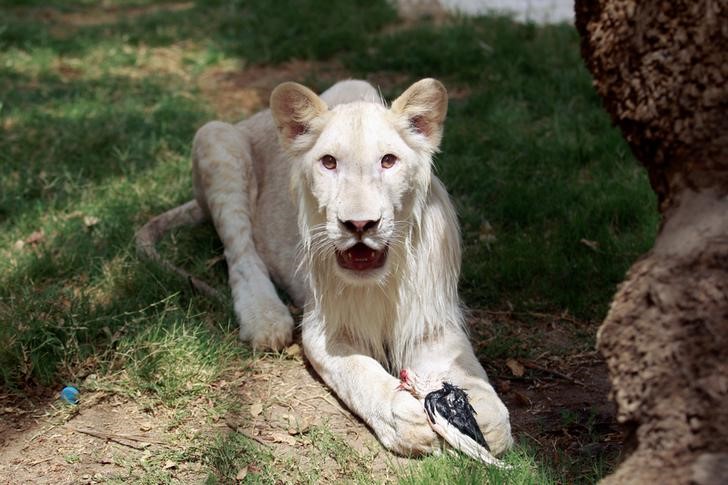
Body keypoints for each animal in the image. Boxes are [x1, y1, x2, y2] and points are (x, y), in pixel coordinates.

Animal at [136, 77, 512, 456]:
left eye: (388, 161)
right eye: (328, 162)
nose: (359, 225)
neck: (380, 282)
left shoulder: (430, 322)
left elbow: (473, 380)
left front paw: (481, 418)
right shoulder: (322, 328)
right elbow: (359, 373)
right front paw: (401, 415)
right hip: (216, 139)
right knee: (240, 251)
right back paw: (265, 319)